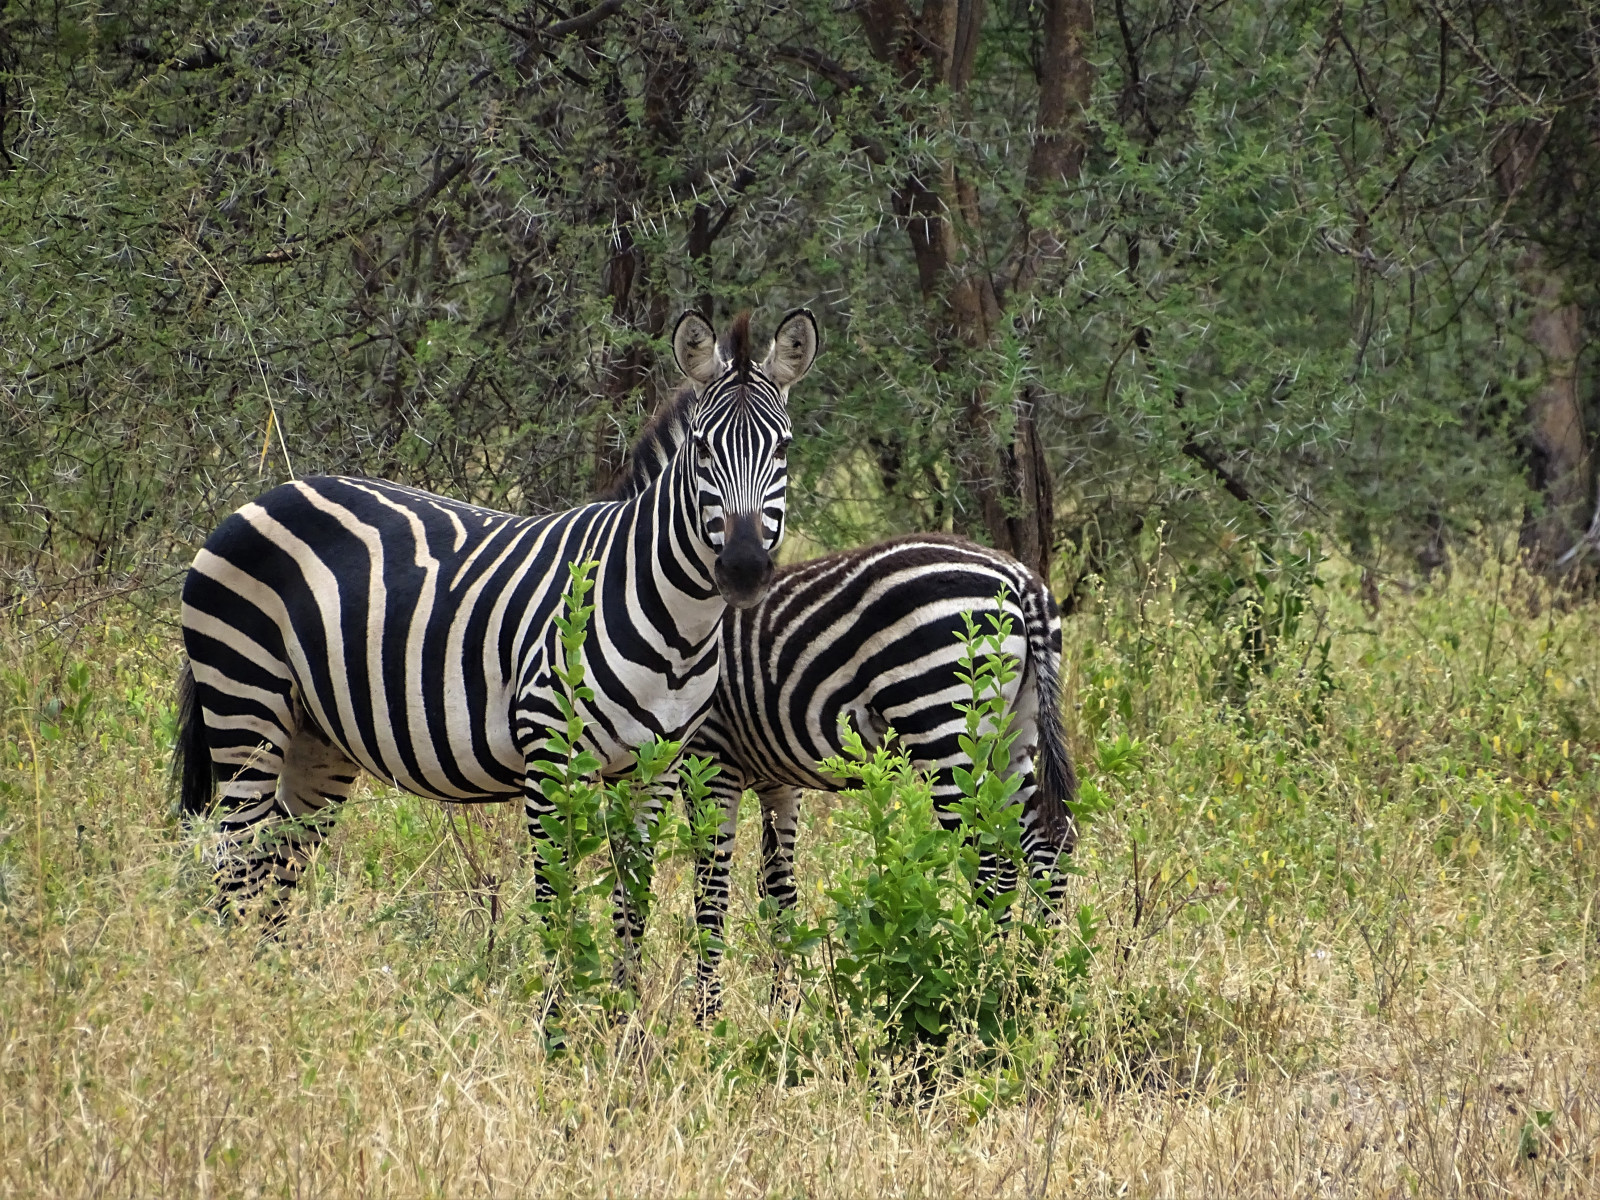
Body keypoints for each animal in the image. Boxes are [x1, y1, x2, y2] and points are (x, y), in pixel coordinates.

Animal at [173, 310, 819, 928]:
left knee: (273, 871)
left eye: (784, 450)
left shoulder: (654, 769)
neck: (676, 630)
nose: (743, 569)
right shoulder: (550, 755)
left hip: (316, 734)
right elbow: (556, 903)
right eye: (703, 450)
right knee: (235, 865)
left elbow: (631, 904)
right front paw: (559, 975)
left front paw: (623, 975)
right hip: (244, 702)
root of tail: (266, 496)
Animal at [681, 540, 1081, 1017]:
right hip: (1014, 734)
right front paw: (784, 1008)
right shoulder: (778, 780)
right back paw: (1034, 979)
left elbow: (709, 889)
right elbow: (778, 886)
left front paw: (706, 1016)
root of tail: (1021, 580)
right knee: (1047, 847)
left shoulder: (708, 758)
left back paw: (982, 981)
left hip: (944, 726)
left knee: (987, 862)